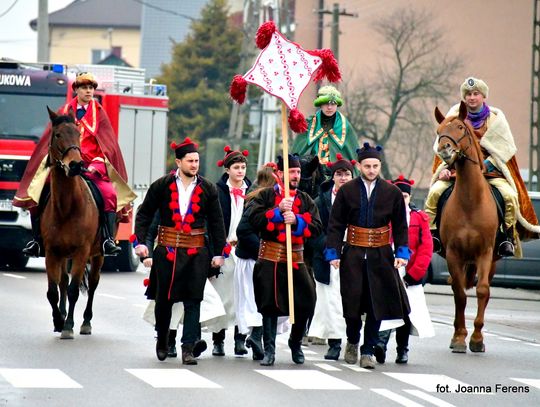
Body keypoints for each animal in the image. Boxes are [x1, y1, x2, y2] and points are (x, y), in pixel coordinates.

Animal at [42, 107, 104, 340]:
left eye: (78, 134)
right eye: (58, 134)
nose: (76, 165)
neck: (66, 207)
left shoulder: (81, 251)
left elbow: (74, 290)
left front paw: (68, 325)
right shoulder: (51, 251)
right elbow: (53, 291)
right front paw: (58, 321)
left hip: (98, 254)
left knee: (93, 284)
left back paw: (86, 322)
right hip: (62, 255)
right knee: (62, 282)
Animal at [434, 102, 498, 354]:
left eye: (460, 127)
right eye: (439, 129)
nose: (444, 149)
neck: (471, 202)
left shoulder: (485, 253)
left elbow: (482, 291)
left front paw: (477, 339)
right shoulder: (454, 254)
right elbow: (460, 294)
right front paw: (460, 337)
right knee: (456, 289)